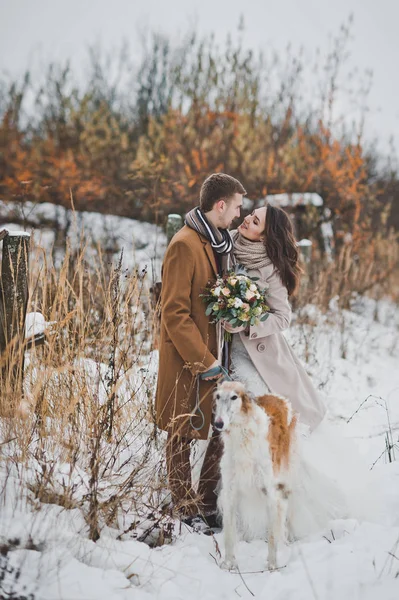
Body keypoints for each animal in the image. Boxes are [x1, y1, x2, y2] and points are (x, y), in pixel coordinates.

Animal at [216, 382, 296, 568]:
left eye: (234, 397)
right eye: (217, 396)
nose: (218, 423)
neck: (243, 436)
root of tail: (277, 396)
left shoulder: (269, 491)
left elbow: (272, 536)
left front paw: (272, 566)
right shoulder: (229, 491)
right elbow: (229, 534)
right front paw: (229, 564)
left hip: (283, 478)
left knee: (282, 512)